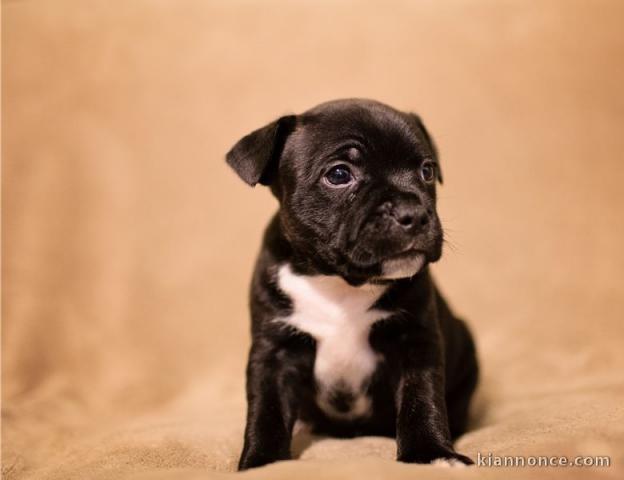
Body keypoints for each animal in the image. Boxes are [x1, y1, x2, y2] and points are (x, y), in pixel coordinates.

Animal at [228, 97, 478, 468]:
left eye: (427, 171)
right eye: (339, 175)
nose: (413, 212)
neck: (342, 284)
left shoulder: (416, 343)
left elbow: (422, 401)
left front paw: (431, 455)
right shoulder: (273, 353)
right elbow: (266, 411)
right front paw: (264, 463)